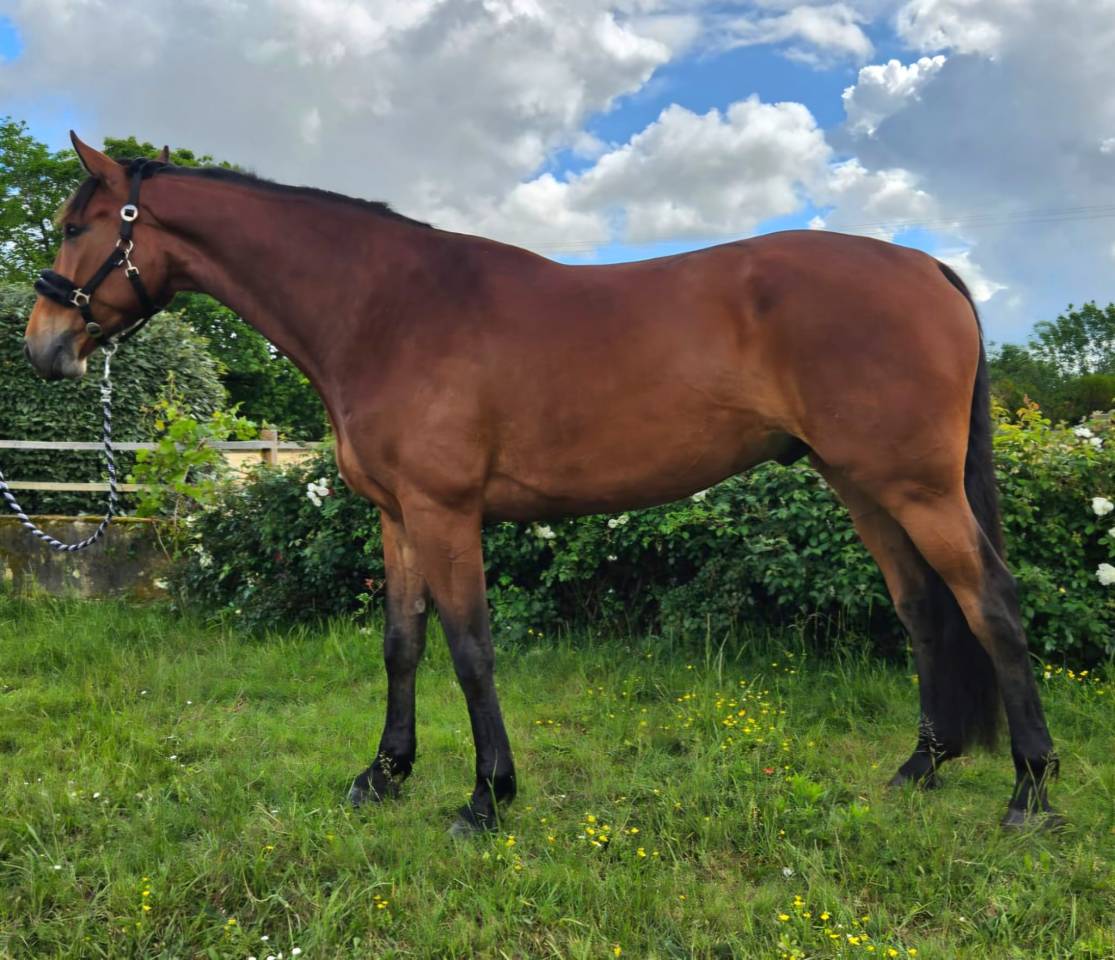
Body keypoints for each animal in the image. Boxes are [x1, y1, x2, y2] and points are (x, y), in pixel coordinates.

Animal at [25, 134, 1060, 834]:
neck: (385, 309)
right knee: (923, 609)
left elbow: (470, 649)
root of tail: (923, 266)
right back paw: (921, 767)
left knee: (992, 605)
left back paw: (1029, 791)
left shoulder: (447, 513)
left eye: (77, 226)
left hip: (916, 486)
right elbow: (402, 645)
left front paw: (487, 796)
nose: (42, 346)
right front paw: (384, 774)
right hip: (862, 483)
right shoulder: (398, 517)